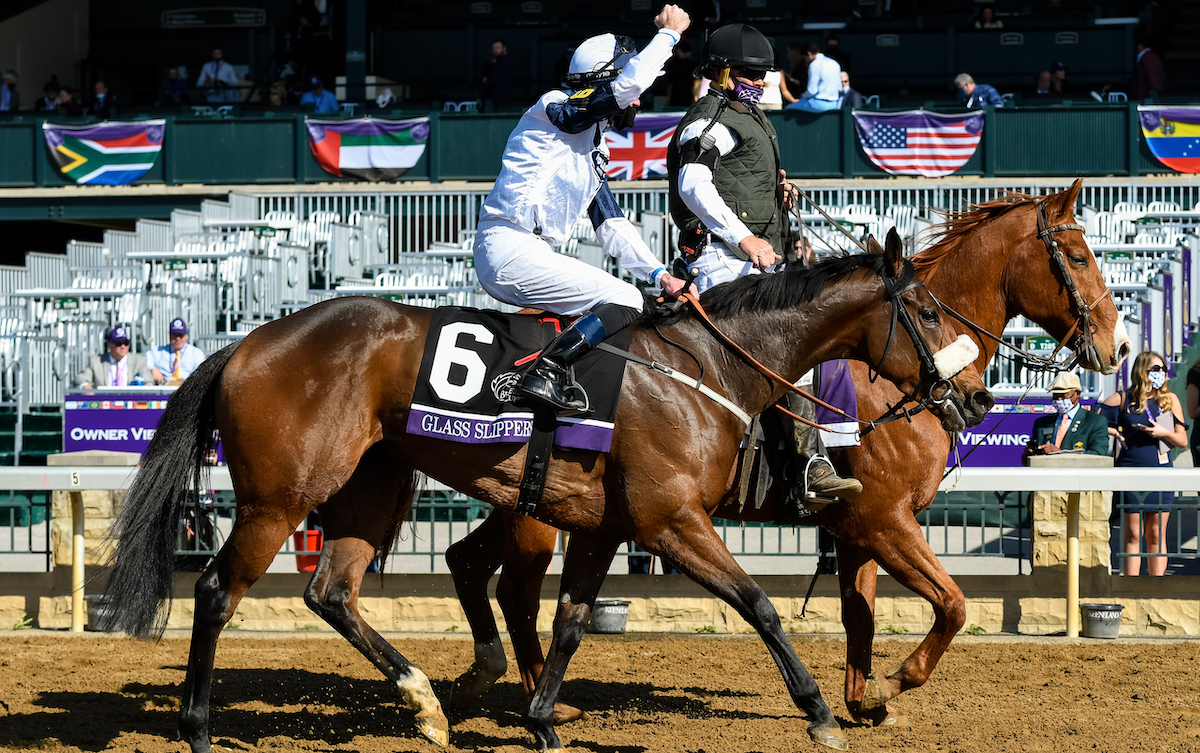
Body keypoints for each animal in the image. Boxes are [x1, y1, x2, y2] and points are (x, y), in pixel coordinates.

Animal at [100, 235, 984, 753]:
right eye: (929, 307)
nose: (975, 395)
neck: (704, 367)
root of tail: (243, 343)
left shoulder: (603, 526)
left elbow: (570, 624)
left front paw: (543, 720)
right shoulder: (673, 519)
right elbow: (761, 606)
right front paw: (824, 711)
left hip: (369, 489)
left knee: (334, 590)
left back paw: (426, 701)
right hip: (279, 498)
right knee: (217, 591)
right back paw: (197, 728)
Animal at [444, 177, 1132, 729]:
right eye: (1076, 256)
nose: (1117, 346)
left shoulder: (857, 529)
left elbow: (861, 614)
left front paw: (861, 700)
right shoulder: (884, 519)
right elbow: (953, 605)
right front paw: (890, 685)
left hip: (528, 502)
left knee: (466, 561)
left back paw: (489, 684)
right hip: (542, 513)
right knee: (518, 591)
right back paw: (540, 701)